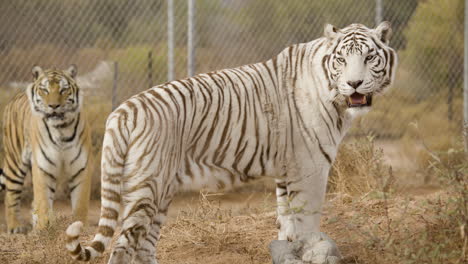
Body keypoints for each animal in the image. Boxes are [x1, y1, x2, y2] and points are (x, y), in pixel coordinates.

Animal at [65, 22, 394, 264]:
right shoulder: (310, 169)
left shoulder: (287, 172)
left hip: (161, 191)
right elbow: (308, 223)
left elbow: (287, 224)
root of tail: (122, 110)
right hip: (146, 188)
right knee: (123, 246)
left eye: (369, 57)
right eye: (342, 59)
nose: (354, 84)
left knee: (145, 246)